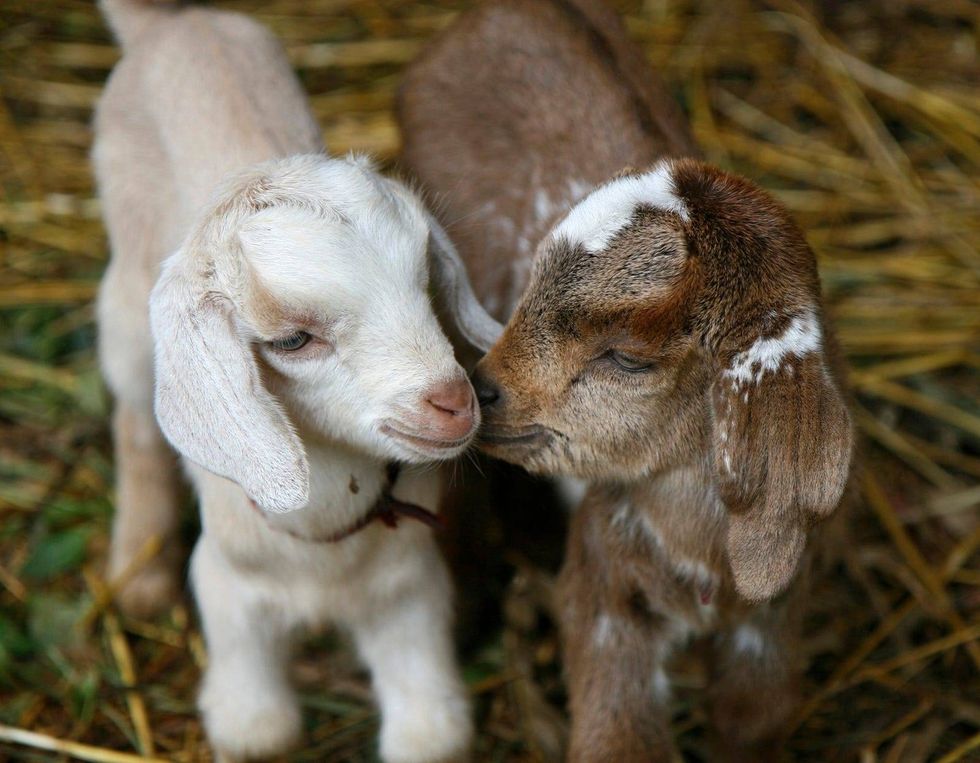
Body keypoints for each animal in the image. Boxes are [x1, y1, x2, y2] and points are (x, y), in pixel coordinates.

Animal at [95, 1, 497, 759]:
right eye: (291, 340)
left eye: (423, 281)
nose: (454, 404)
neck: (327, 556)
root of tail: (171, 22)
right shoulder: (228, 588)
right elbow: (259, 728)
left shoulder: (410, 590)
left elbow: (430, 734)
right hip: (128, 307)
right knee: (134, 418)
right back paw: (139, 572)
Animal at [398, 0, 855, 759]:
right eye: (530, 284)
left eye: (628, 358)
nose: (486, 389)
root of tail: (497, 12)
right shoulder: (604, 582)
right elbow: (619, 734)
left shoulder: (775, 614)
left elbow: (754, 717)